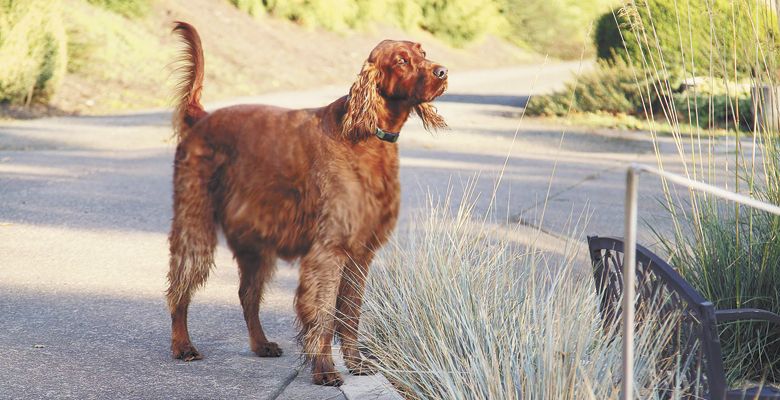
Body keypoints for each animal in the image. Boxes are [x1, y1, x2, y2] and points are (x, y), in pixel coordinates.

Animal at [168, 21, 448, 384]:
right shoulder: (329, 251)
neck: (366, 136)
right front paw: (325, 370)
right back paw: (183, 345)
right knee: (180, 285)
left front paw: (356, 364)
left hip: (255, 241)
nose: (442, 71)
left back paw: (261, 344)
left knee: (247, 294)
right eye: (401, 60)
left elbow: (350, 315)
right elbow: (325, 315)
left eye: (422, 52)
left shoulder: (360, 254)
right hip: (195, 222)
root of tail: (201, 117)